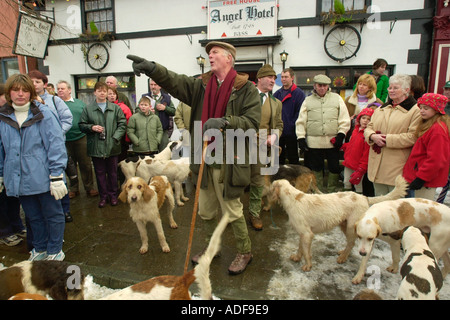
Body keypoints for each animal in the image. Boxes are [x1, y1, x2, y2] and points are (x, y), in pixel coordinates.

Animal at [268, 174, 410, 272]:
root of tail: (364, 197)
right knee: (350, 243)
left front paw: (308, 266)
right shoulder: (303, 234)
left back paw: (343, 258)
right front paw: (297, 257)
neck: (293, 198)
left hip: (351, 227)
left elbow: (307, 253)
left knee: (351, 243)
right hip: (344, 225)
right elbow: (300, 248)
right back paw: (343, 253)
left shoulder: (307, 234)